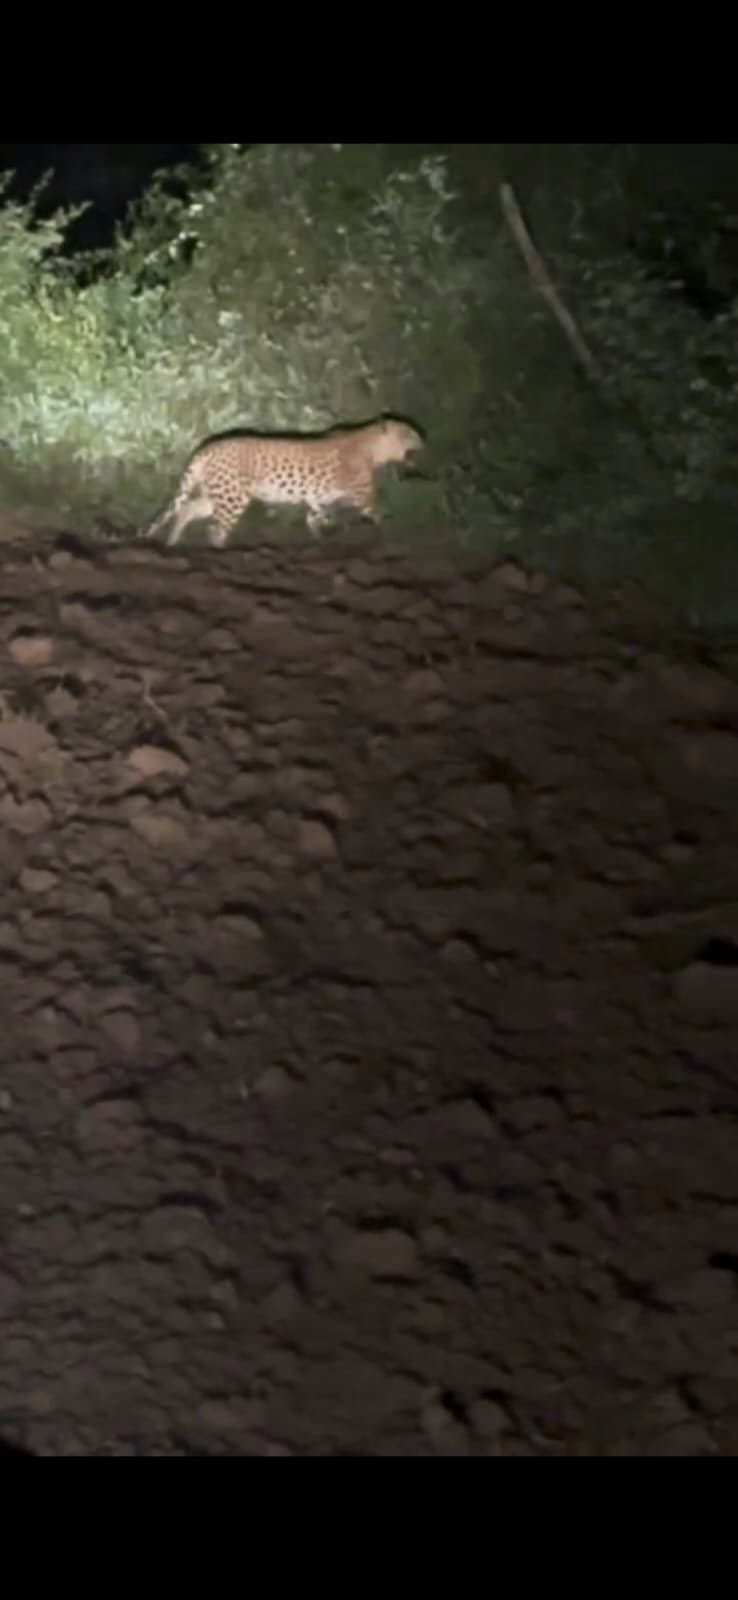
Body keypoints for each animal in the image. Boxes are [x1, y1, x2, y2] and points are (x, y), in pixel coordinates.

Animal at [141, 417, 424, 546]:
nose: (424, 440)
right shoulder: (363, 494)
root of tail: (206, 448)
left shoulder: (317, 497)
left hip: (216, 495)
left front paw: (321, 539)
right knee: (216, 529)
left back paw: (173, 543)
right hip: (232, 498)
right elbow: (378, 513)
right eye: (409, 433)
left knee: (187, 509)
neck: (373, 449)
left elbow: (316, 518)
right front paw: (389, 537)